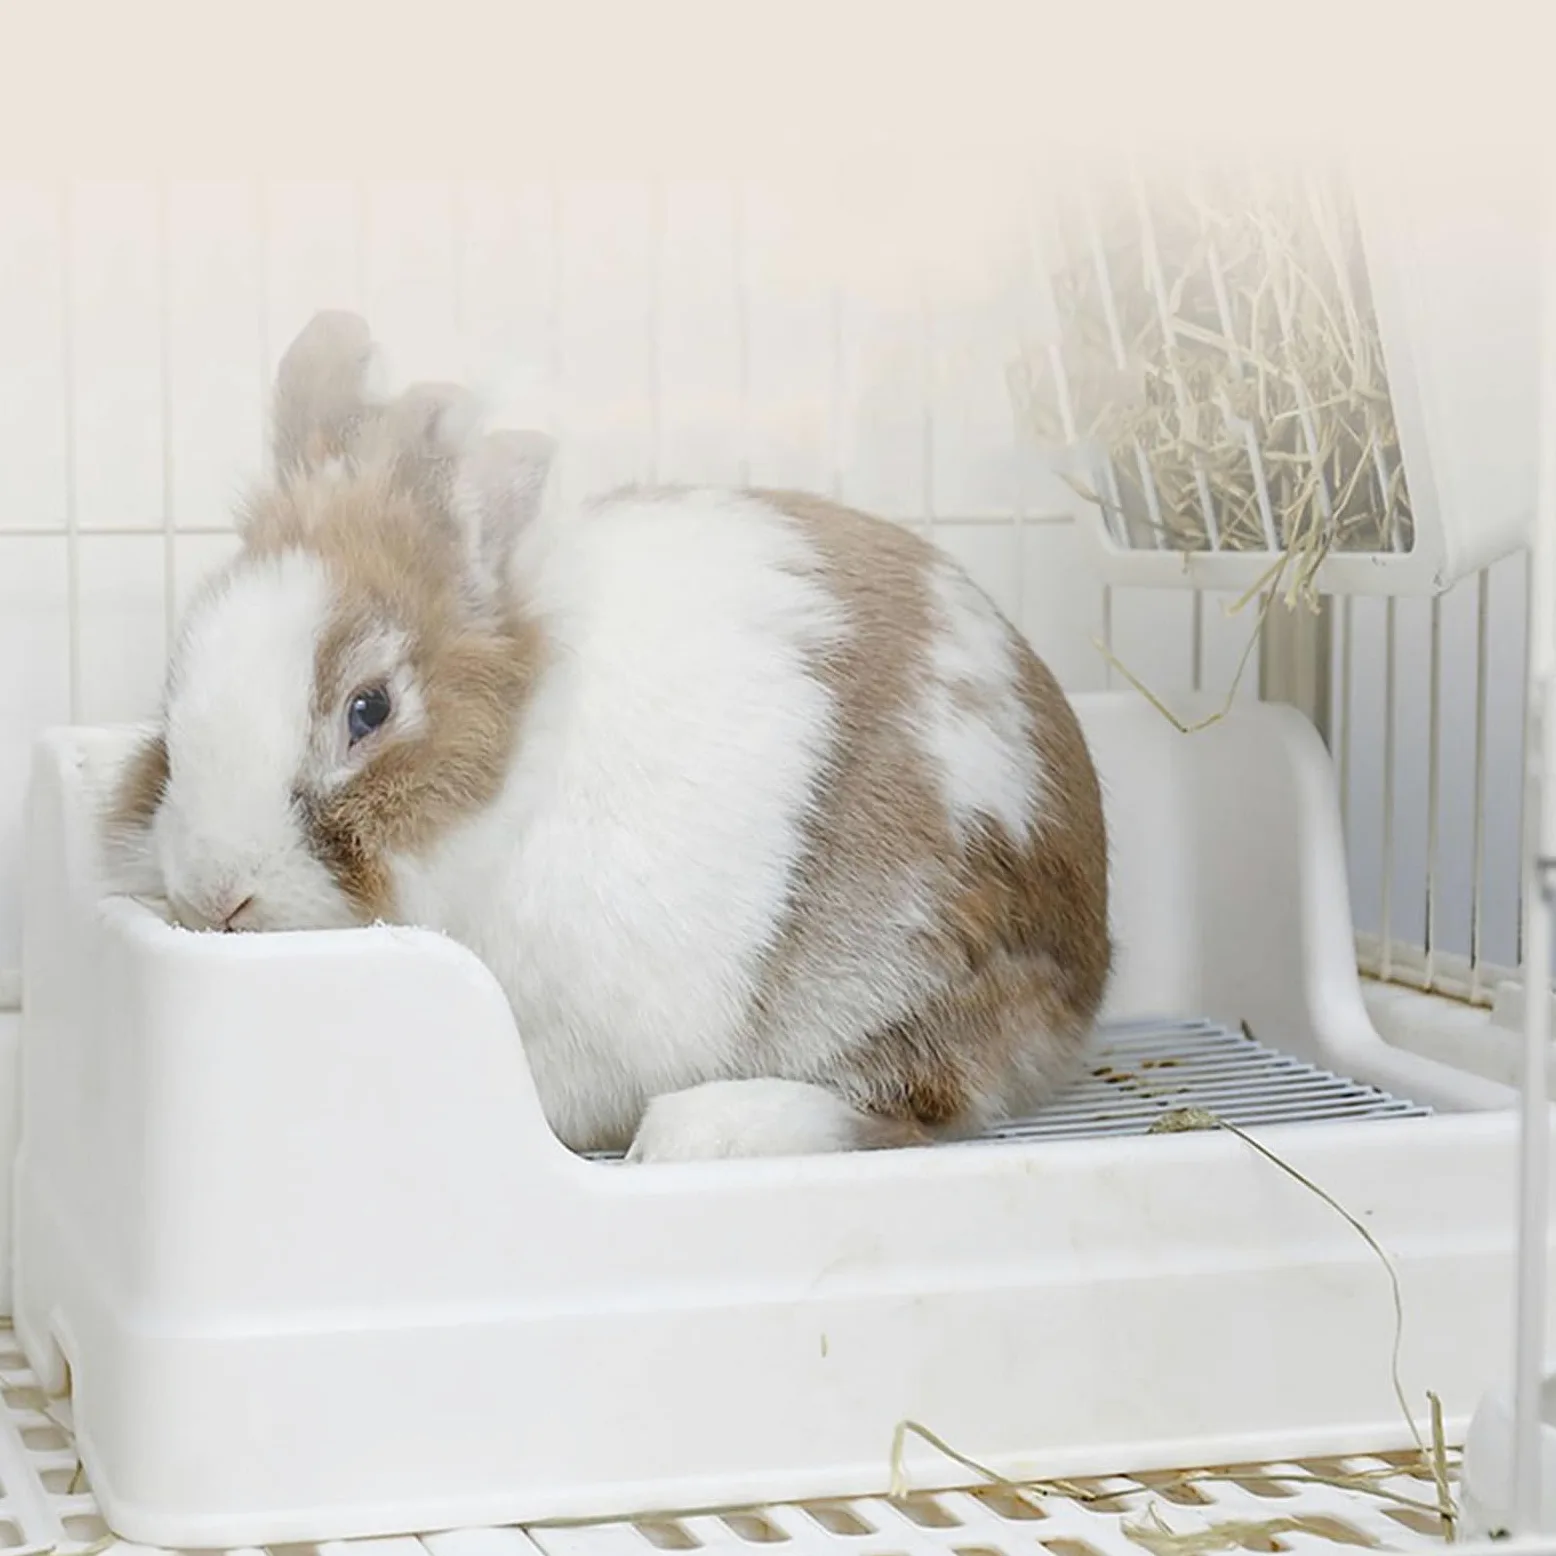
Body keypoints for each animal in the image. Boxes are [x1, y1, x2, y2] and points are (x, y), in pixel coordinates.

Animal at [103, 310, 1111, 1163]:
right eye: (174, 692)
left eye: (369, 710)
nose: (215, 895)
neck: (513, 783)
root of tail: (1088, 953)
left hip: (897, 967)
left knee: (914, 1099)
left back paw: (699, 1133)